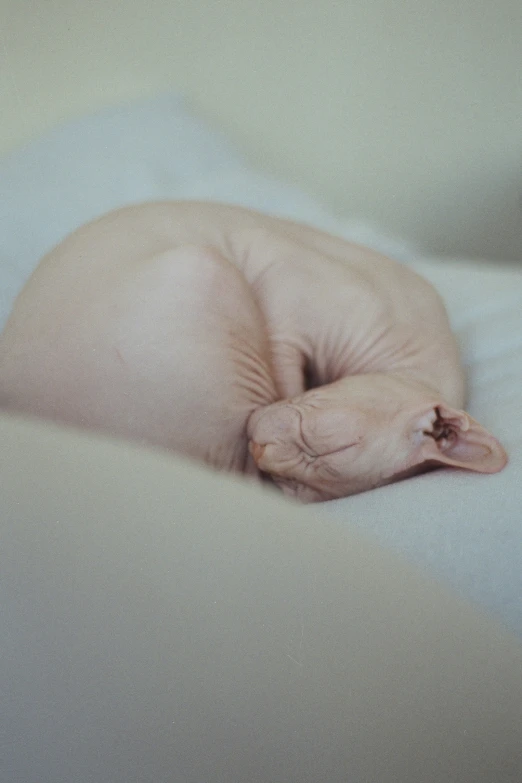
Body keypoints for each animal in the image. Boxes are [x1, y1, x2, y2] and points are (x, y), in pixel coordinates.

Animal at [0, 202, 504, 502]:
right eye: (327, 443)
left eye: (301, 485)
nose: (261, 449)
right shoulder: (292, 297)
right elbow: (285, 363)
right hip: (204, 267)